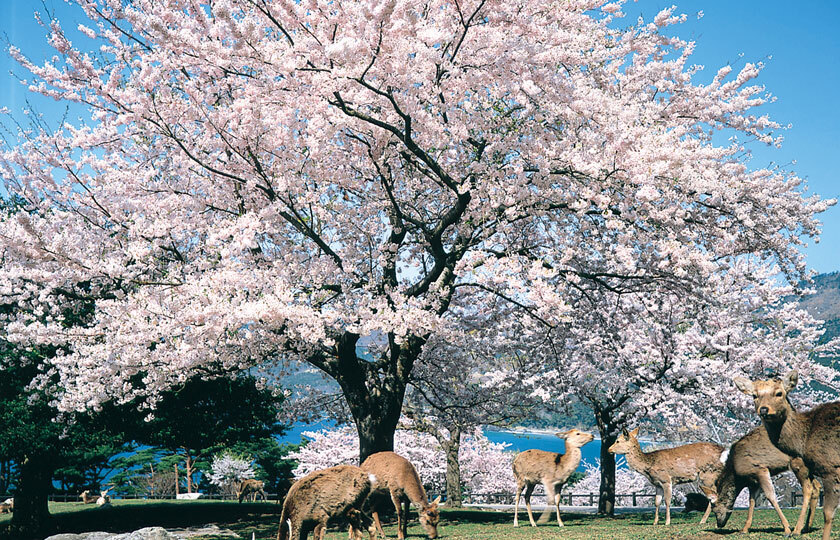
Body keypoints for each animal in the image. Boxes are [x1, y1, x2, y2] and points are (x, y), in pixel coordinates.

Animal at [736, 370, 840, 540]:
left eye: (779, 393)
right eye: (754, 395)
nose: (764, 409)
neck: (803, 440)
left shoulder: (831, 467)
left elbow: (828, 514)